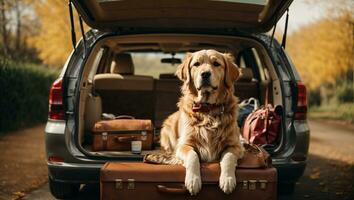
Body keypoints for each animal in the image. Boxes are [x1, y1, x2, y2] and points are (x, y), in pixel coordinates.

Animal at [147, 49, 243, 195]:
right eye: (196, 64)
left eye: (216, 63)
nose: (205, 74)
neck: (207, 109)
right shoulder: (184, 145)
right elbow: (193, 157)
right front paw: (193, 181)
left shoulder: (235, 145)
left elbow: (228, 157)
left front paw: (227, 179)